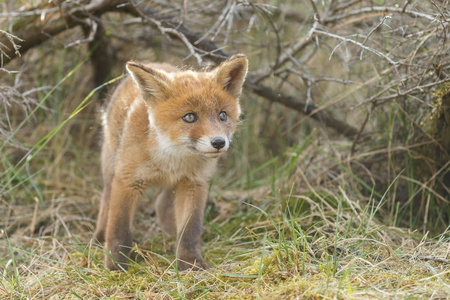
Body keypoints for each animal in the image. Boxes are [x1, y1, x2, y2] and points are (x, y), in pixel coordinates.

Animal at [94, 54, 248, 272]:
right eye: (190, 117)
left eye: (222, 115)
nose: (219, 142)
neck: (171, 158)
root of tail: (154, 63)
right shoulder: (127, 180)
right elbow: (119, 227)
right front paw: (116, 264)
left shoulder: (194, 183)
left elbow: (190, 229)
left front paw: (190, 262)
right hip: (110, 166)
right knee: (106, 200)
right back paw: (100, 237)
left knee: (161, 205)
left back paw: (172, 235)